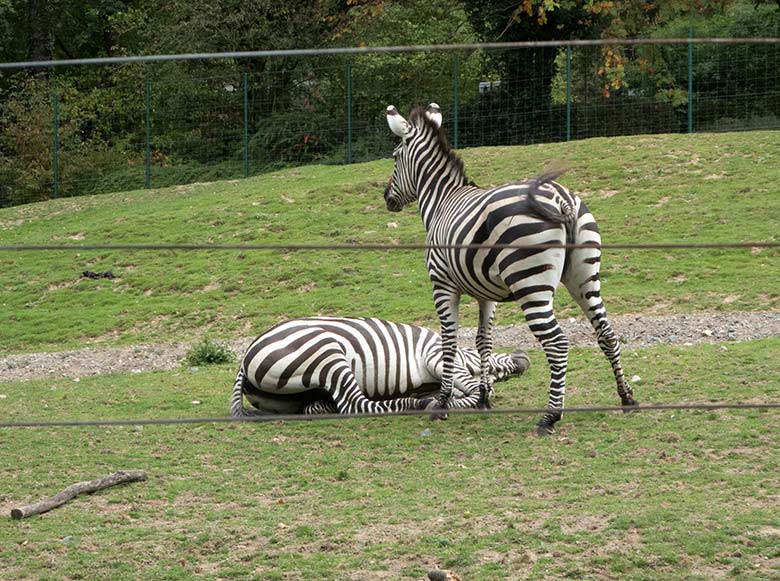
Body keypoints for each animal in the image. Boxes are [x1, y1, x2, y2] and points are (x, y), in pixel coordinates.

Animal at [229, 318, 528, 416]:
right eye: (487, 365)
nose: (524, 358)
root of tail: (244, 360)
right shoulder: (433, 354)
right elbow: (472, 390)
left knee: (318, 406)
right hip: (326, 352)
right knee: (353, 405)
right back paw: (417, 405)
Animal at [382, 104, 632, 432]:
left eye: (395, 156)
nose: (386, 198)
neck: (441, 201)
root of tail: (561, 198)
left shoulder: (442, 284)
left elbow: (449, 341)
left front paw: (443, 403)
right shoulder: (485, 293)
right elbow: (483, 341)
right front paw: (484, 399)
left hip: (531, 284)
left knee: (557, 343)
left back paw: (550, 416)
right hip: (585, 276)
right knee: (607, 333)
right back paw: (626, 397)